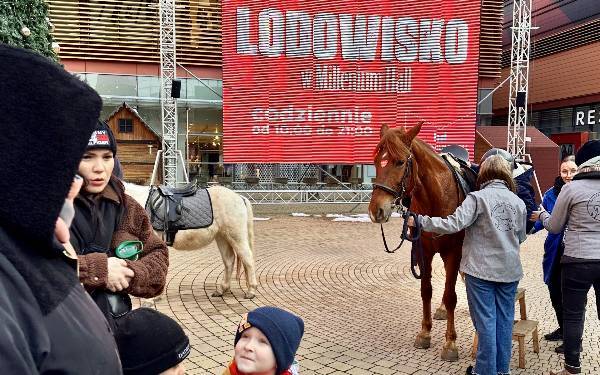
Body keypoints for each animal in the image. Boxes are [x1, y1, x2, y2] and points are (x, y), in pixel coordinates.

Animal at [125, 183, 256, 300]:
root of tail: (240, 198)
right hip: (222, 237)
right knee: (229, 261)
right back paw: (221, 290)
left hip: (236, 237)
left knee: (248, 260)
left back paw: (251, 291)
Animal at [370, 123, 464, 362]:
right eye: (375, 161)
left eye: (400, 162)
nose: (376, 210)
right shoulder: (424, 251)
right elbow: (426, 290)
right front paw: (425, 332)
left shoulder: (454, 252)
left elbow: (451, 295)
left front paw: (450, 343)